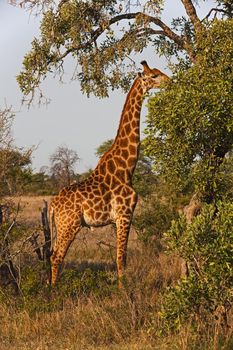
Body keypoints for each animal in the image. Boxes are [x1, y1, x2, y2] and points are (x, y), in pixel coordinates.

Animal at [49, 62, 169, 288]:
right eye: (154, 76)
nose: (170, 80)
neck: (126, 168)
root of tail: (52, 205)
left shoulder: (117, 219)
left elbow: (121, 256)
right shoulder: (124, 214)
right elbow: (121, 257)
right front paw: (124, 291)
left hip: (61, 226)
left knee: (53, 255)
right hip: (69, 225)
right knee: (57, 256)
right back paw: (53, 291)